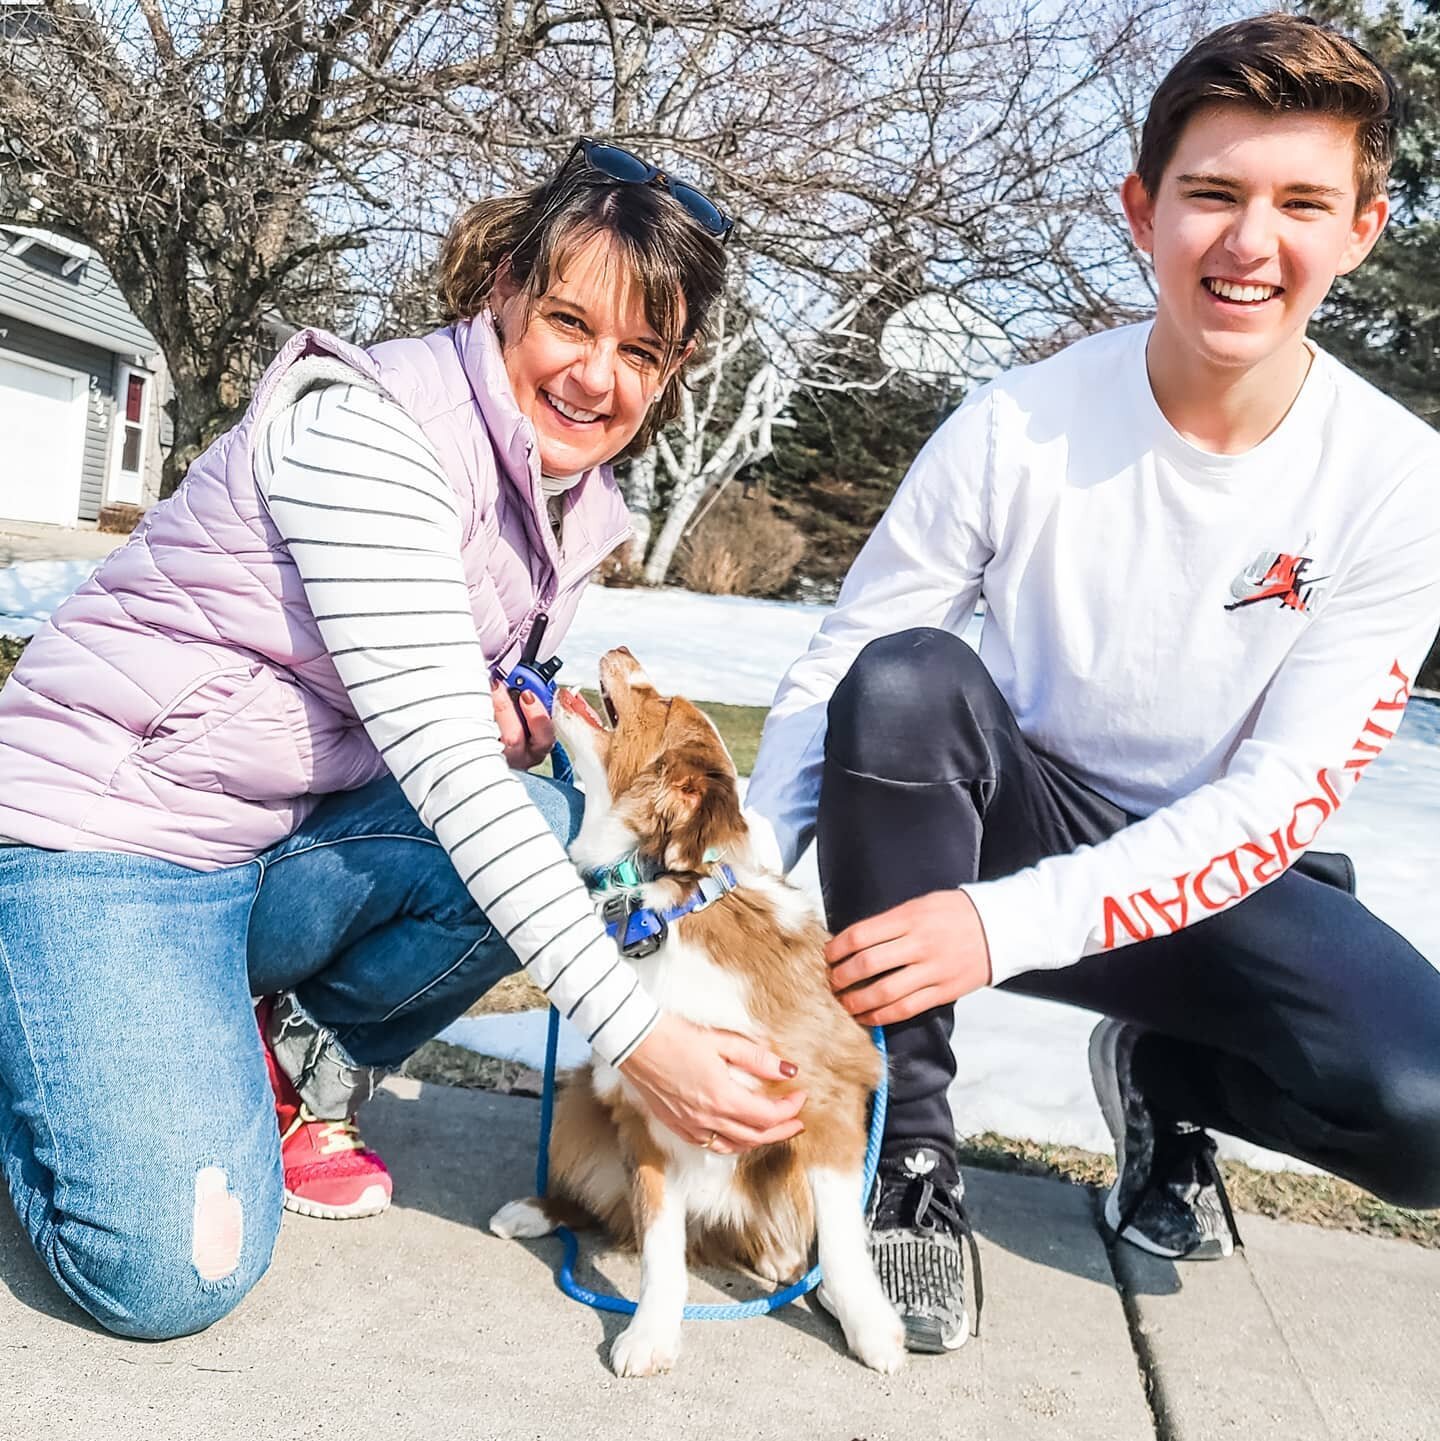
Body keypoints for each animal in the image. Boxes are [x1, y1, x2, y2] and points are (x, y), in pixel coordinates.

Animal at [490, 651, 905, 1371]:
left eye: (661, 700)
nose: (623, 651)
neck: (664, 900)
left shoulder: (829, 1105)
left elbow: (843, 1245)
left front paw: (870, 1326)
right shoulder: (647, 1113)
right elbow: (661, 1248)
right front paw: (652, 1333)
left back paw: (779, 1258)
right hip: (577, 1104)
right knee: (611, 1210)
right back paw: (536, 1210)